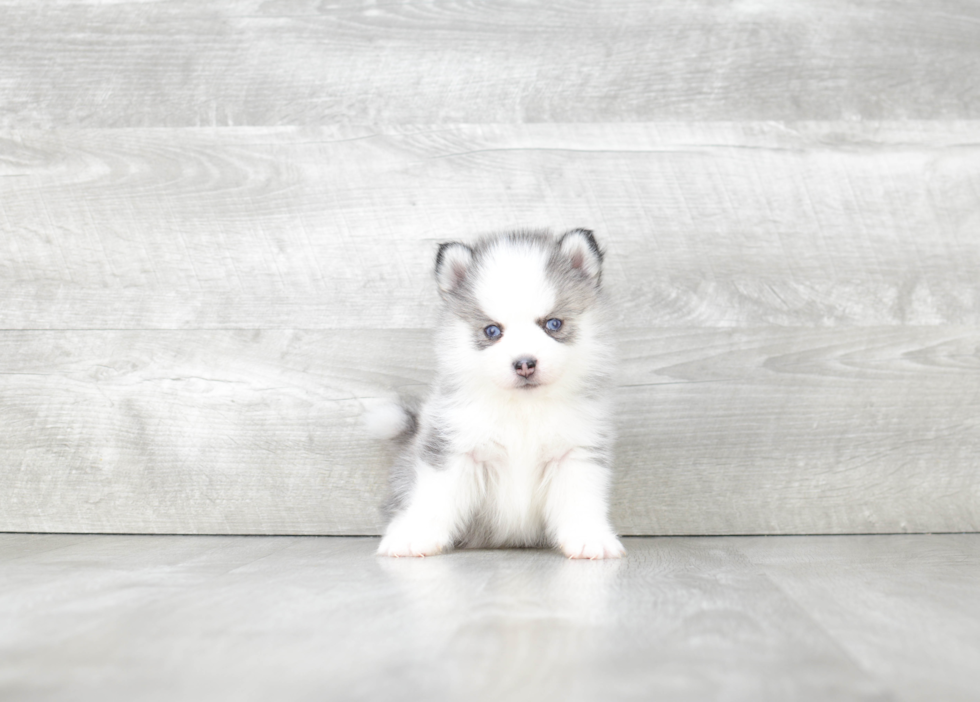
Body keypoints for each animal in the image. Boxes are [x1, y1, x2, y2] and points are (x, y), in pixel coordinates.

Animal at [372, 230, 624, 560]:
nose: (525, 363)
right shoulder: (455, 449)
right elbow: (435, 498)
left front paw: (589, 537)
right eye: (492, 331)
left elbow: (581, 499)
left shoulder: (576, 452)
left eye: (553, 324)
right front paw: (416, 536)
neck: (523, 410)